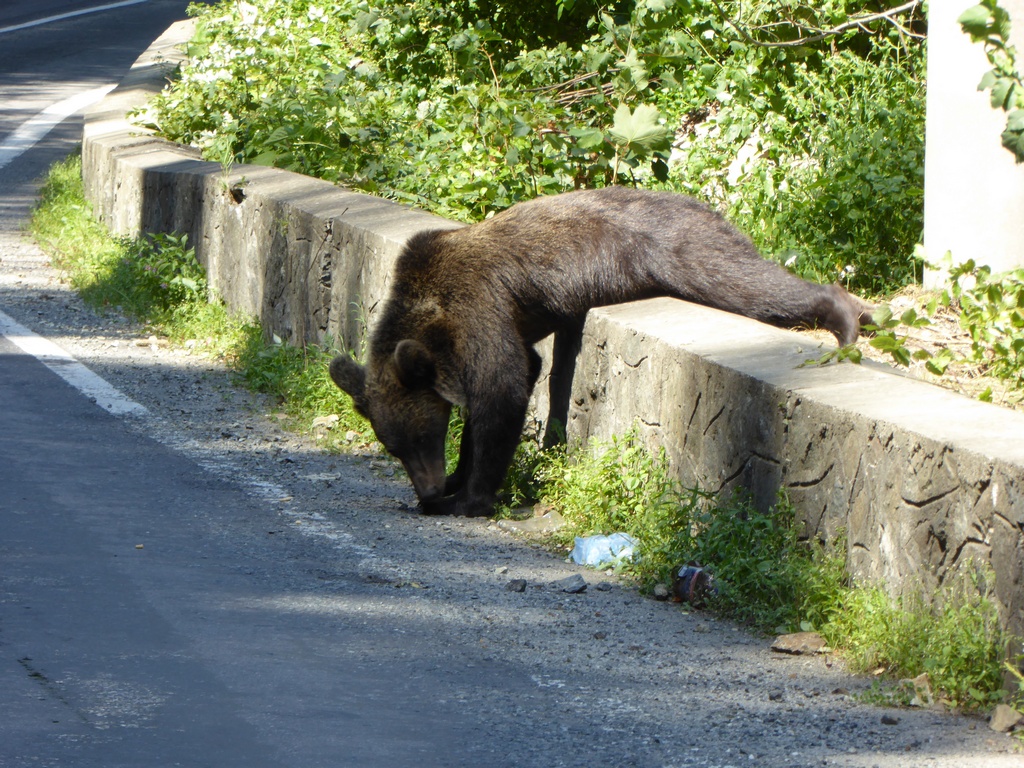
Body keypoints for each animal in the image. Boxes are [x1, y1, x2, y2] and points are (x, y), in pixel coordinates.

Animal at [329, 188, 872, 520]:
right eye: (393, 446)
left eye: (422, 436)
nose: (427, 489)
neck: (432, 314)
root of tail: (706, 206)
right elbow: (528, 370)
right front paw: (458, 480)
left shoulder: (481, 304)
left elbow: (502, 387)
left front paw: (470, 496)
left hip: (680, 249)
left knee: (745, 282)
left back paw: (846, 317)